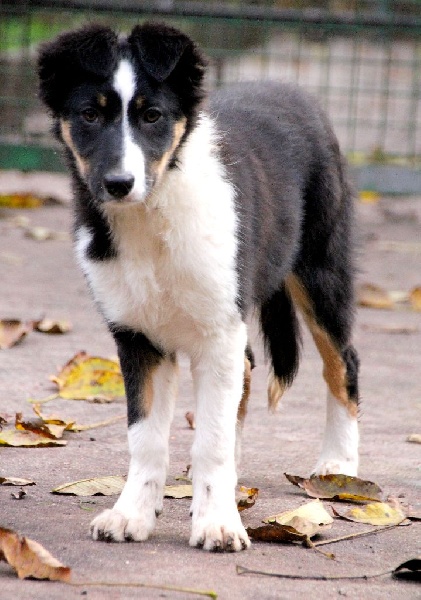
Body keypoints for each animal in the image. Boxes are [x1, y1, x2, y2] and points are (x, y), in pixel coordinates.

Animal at [38, 22, 358, 552]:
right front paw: (133, 514)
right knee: (246, 373)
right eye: (89, 115)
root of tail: (293, 90)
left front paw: (217, 523)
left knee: (342, 363)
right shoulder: (138, 336)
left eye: (152, 116)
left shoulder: (217, 330)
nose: (119, 183)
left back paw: (340, 467)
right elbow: (146, 437)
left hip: (320, 271)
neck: (152, 215)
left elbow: (210, 439)